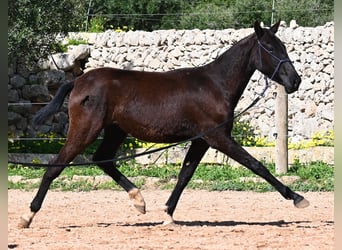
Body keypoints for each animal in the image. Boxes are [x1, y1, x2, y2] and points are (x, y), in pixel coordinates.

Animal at [20, 21, 310, 229]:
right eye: (270, 48)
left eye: (283, 46)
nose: (295, 81)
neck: (215, 85)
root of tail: (78, 81)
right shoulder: (218, 137)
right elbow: (256, 165)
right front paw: (297, 198)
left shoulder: (201, 139)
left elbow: (185, 175)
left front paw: (167, 214)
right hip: (85, 130)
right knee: (55, 166)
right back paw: (27, 216)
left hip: (115, 130)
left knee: (102, 159)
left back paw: (139, 201)